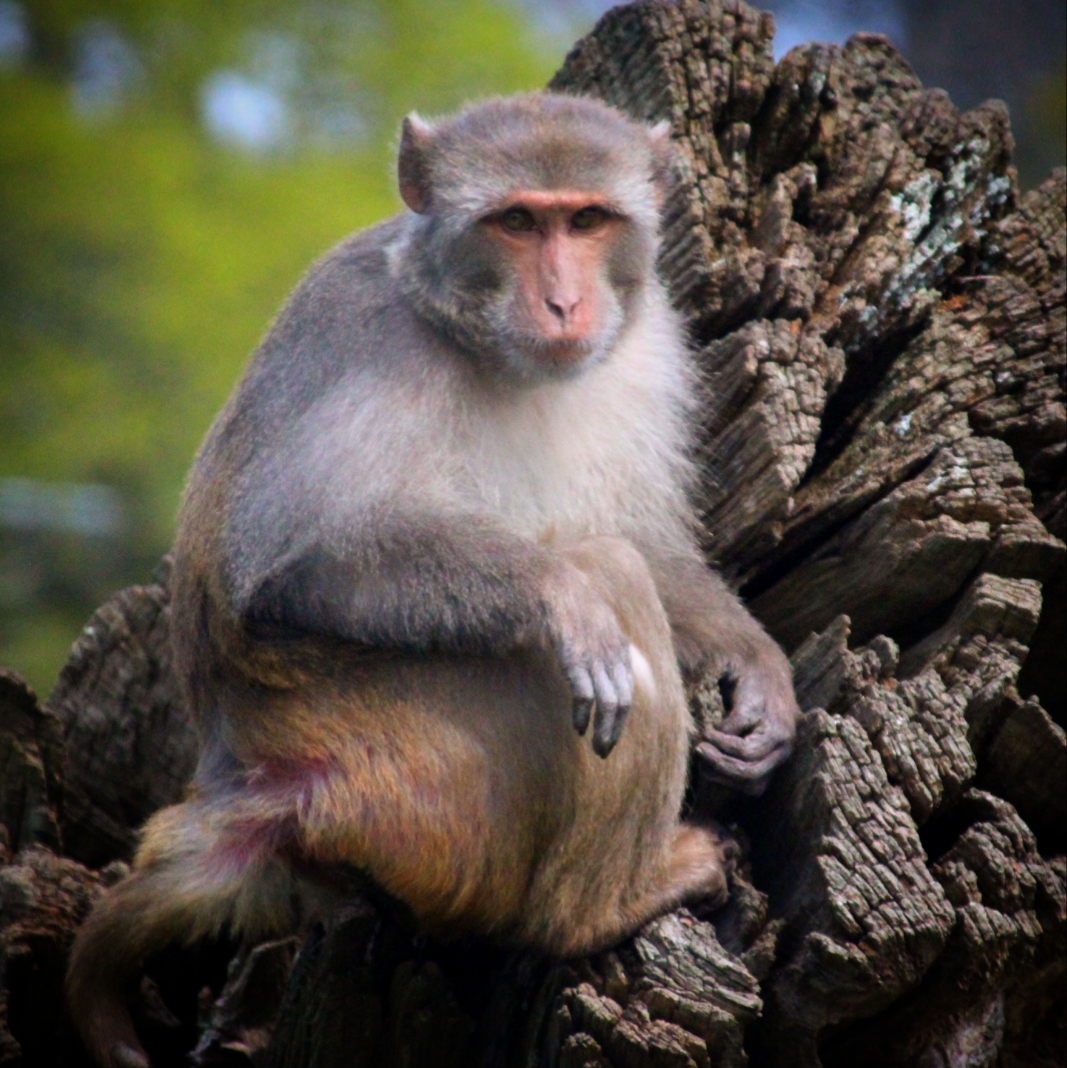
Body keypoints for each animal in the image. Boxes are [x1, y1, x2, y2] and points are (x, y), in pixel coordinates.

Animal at [66, 92, 799, 1068]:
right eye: (518, 222)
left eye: (586, 220)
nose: (564, 302)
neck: (473, 334)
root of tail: (271, 791)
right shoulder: (366, 341)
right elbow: (290, 565)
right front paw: (559, 597)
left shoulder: (647, 348)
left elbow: (646, 534)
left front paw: (756, 670)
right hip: (424, 778)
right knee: (606, 578)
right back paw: (600, 906)